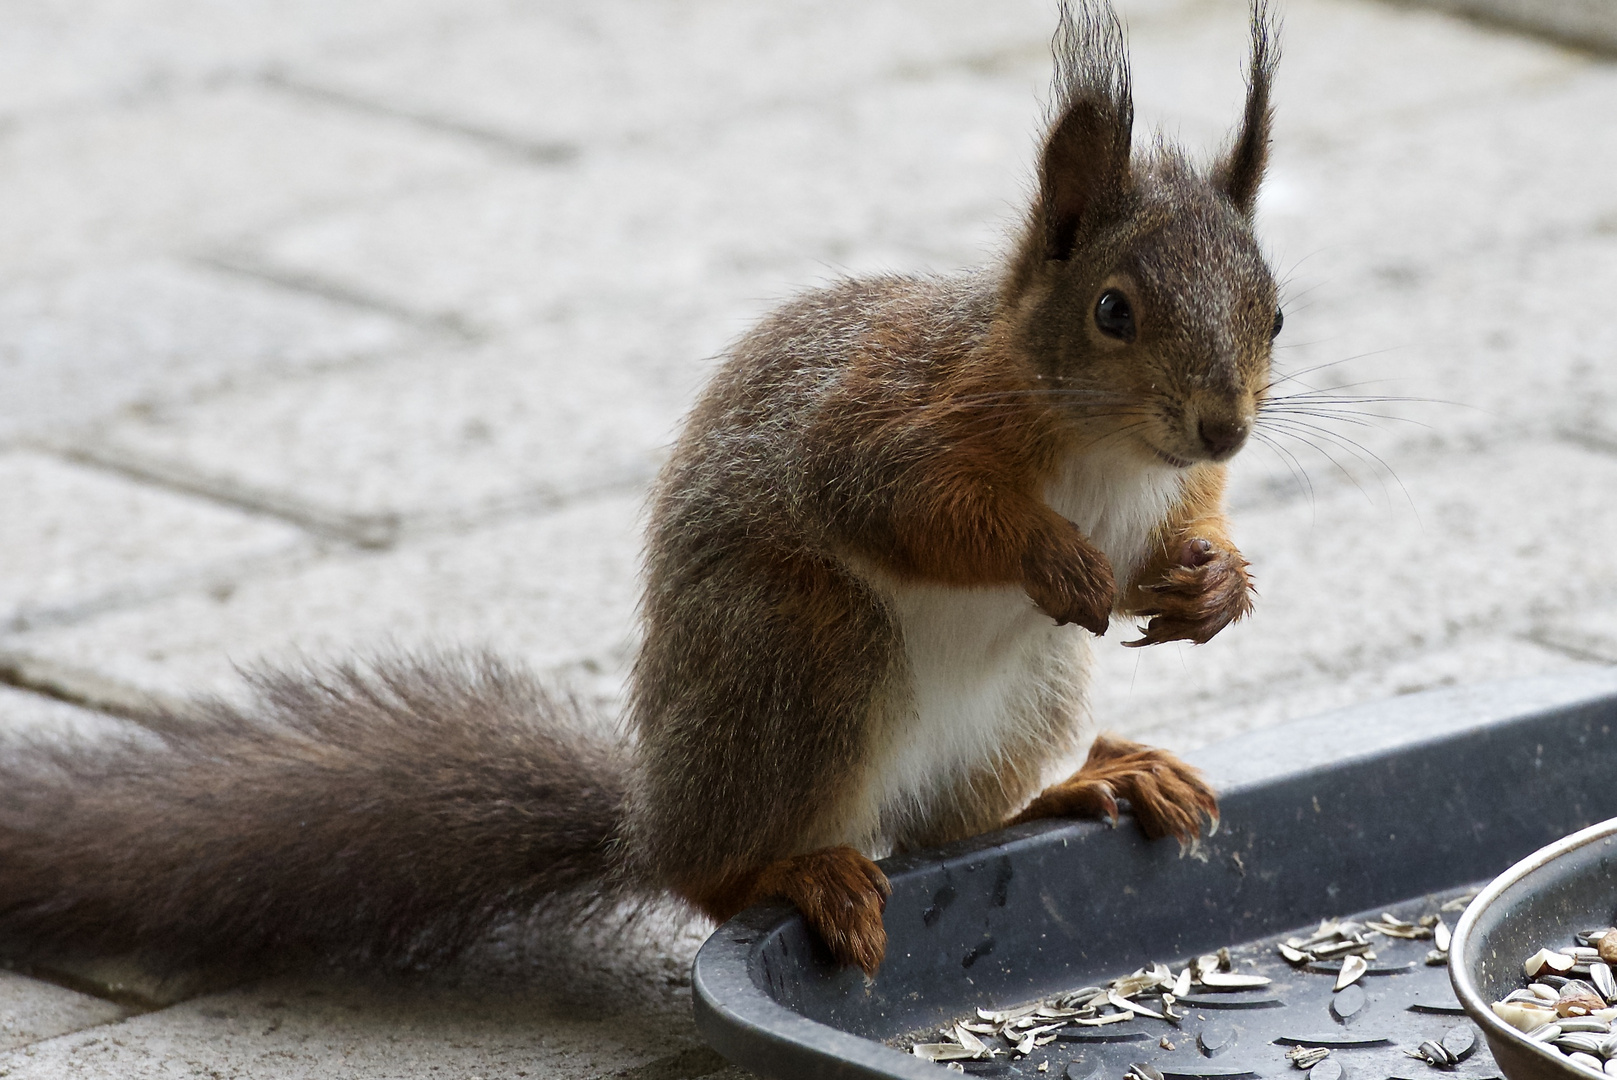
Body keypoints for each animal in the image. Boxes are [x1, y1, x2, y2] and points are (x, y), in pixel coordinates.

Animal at [0, 0, 1274, 976]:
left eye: (1271, 308)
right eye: (1112, 310)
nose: (1224, 422)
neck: (1108, 456)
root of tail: (652, 818)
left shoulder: (1171, 486)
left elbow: (1191, 522)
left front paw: (1215, 582)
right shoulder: (890, 418)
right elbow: (897, 505)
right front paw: (1050, 553)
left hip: (1019, 700)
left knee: (946, 831)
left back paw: (1086, 784)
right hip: (804, 652)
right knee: (727, 878)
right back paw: (803, 874)